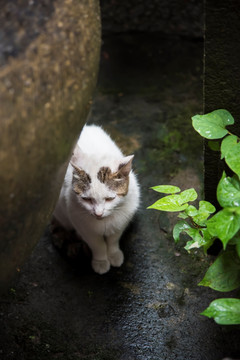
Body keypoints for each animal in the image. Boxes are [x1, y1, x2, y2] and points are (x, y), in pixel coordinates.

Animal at [53, 125, 140, 274]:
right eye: (87, 199)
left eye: (110, 199)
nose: (98, 214)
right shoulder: (82, 225)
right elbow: (97, 245)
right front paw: (101, 261)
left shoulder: (121, 220)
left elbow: (113, 240)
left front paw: (114, 255)